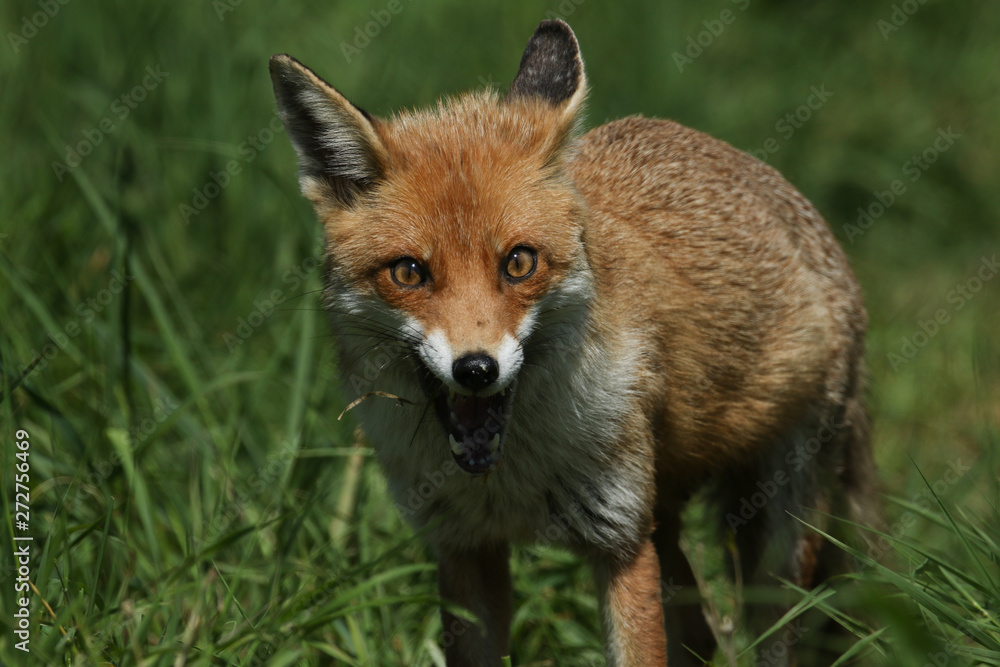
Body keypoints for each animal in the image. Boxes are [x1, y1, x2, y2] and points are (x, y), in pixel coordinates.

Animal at [270, 18, 880, 667]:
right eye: (409, 272)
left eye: (519, 263)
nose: (476, 370)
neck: (509, 478)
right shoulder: (463, 547)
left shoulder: (621, 538)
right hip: (667, 517)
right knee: (702, 632)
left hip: (774, 531)